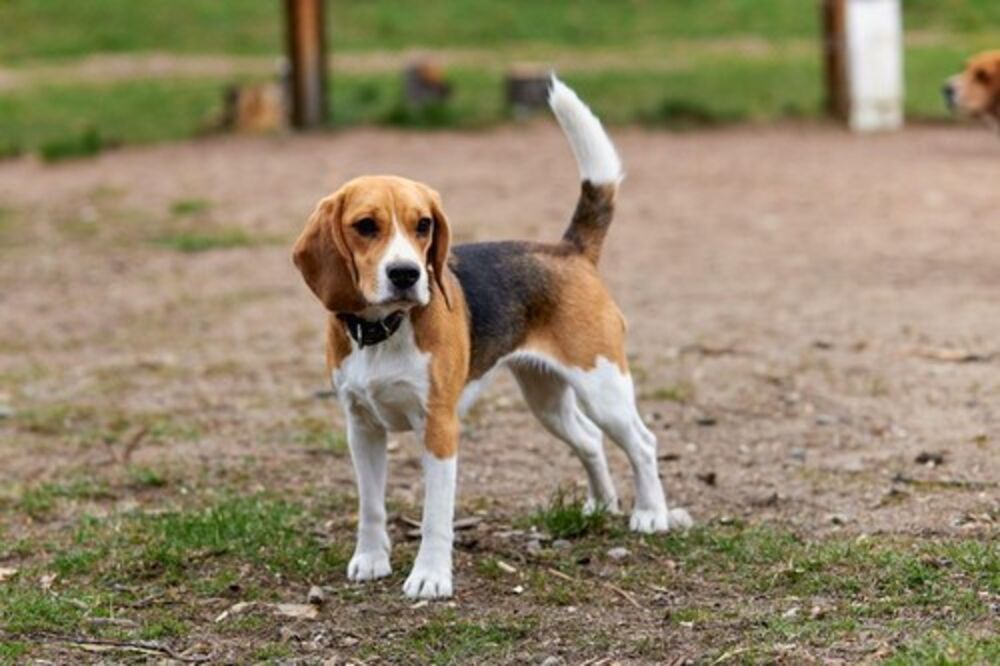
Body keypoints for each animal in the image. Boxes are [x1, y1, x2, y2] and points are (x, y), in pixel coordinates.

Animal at [292, 76, 692, 596]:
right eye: (365, 226)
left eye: (423, 225)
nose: (406, 274)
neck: (385, 331)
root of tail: (568, 250)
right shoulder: (361, 427)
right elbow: (371, 506)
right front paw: (371, 559)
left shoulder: (440, 428)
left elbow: (435, 516)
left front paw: (430, 578)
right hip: (546, 400)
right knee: (589, 440)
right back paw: (602, 505)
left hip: (603, 386)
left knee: (642, 442)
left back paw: (651, 514)